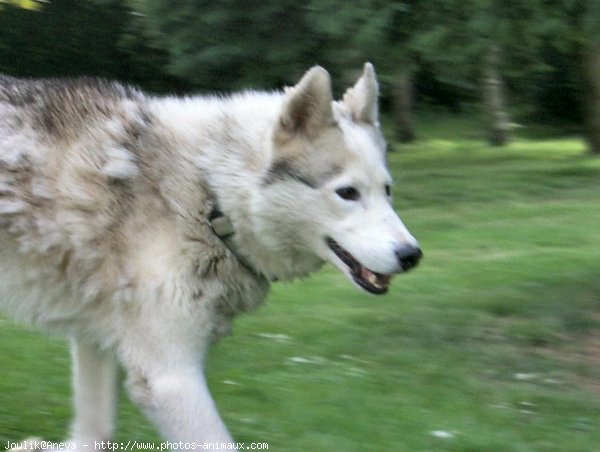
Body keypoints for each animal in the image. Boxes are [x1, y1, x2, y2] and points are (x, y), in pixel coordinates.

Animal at [0, 64, 422, 448]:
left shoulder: (95, 344)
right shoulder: (170, 377)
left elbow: (94, 434)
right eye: (348, 192)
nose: (413, 255)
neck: (208, 196)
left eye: (387, 190)